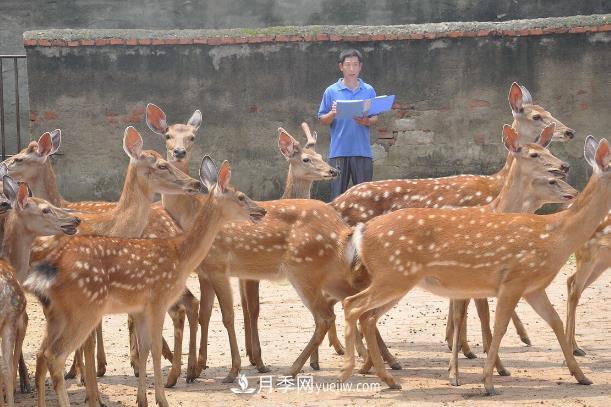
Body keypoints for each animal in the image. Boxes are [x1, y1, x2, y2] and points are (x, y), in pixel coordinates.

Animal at [26, 157, 266, 407]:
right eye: (241, 196)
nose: (262, 210)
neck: (180, 255)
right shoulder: (158, 300)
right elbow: (155, 346)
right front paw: (162, 399)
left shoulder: (141, 308)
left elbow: (145, 348)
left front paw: (143, 399)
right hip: (83, 310)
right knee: (55, 356)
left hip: (57, 312)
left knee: (42, 353)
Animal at [340, 136, 611, 396]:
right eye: (551, 180)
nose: (572, 192)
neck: (556, 235)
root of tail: (360, 231)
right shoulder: (514, 279)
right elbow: (499, 327)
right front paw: (488, 381)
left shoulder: (533, 287)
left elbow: (554, 321)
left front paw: (581, 375)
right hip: (393, 275)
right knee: (353, 305)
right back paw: (349, 370)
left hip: (396, 278)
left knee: (367, 316)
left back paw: (387, 378)